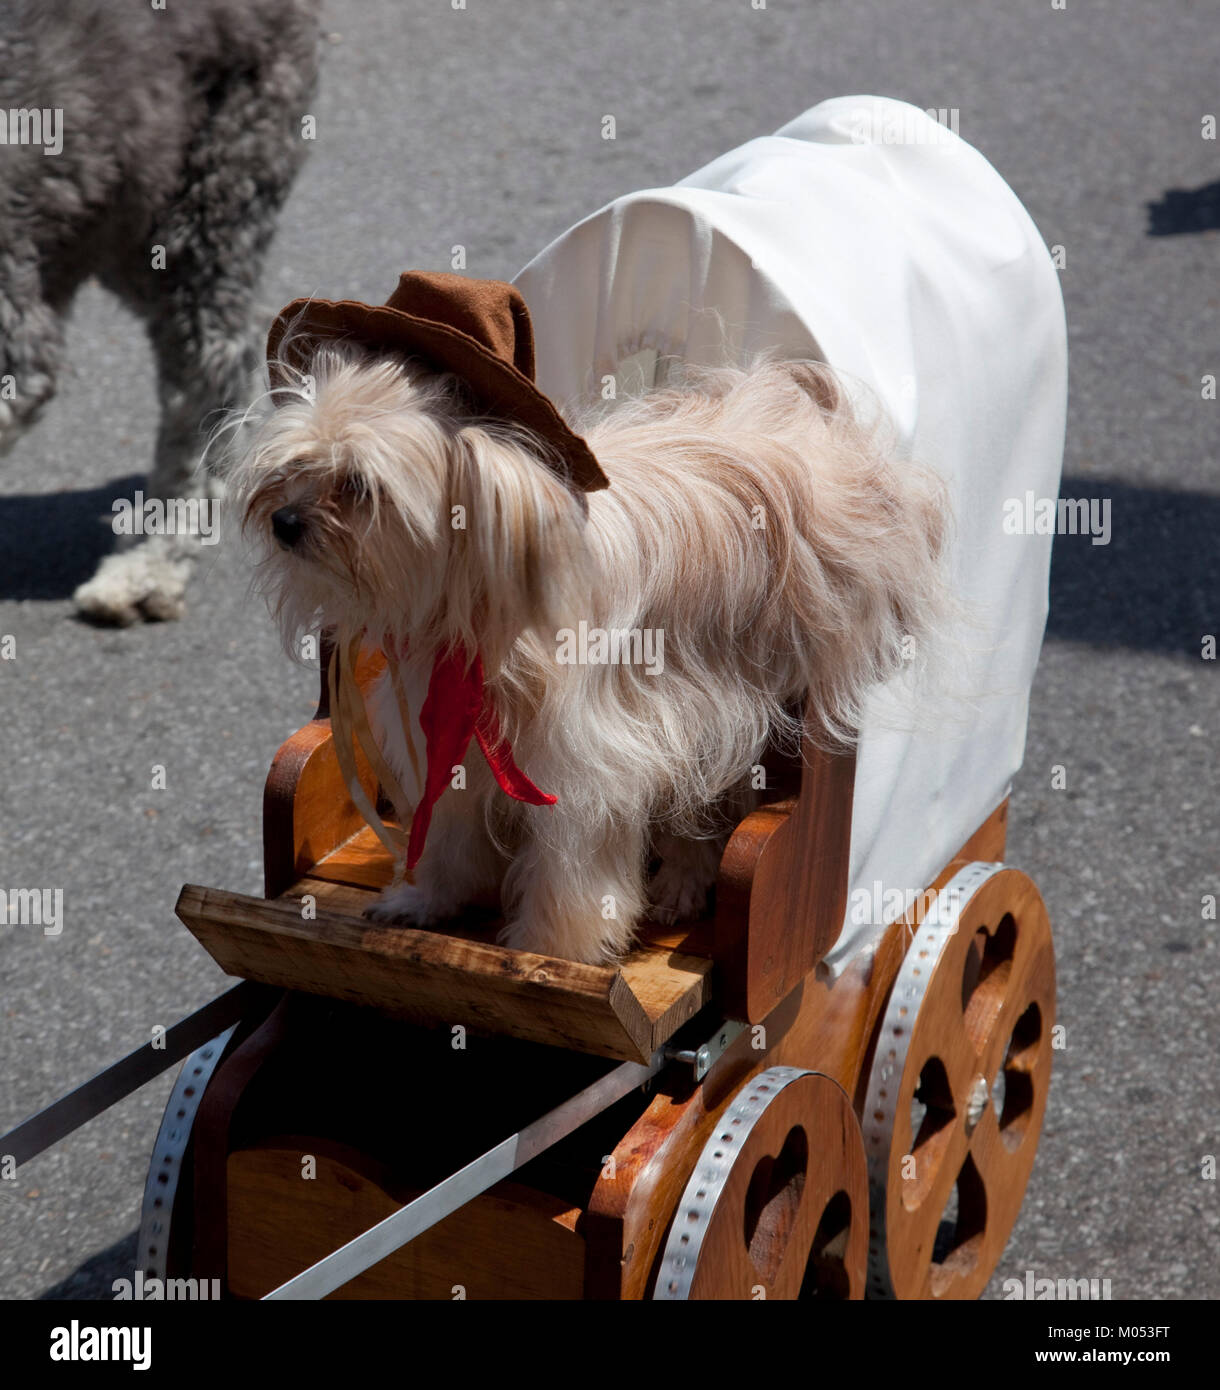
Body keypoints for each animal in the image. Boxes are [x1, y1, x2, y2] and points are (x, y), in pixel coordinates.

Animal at [232, 280, 955, 961]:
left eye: (360, 486)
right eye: (297, 465)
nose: (283, 521)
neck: (482, 605)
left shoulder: (583, 770)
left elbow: (569, 878)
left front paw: (547, 954)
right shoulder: (448, 736)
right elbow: (445, 834)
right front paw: (425, 900)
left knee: (714, 806)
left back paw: (682, 883)